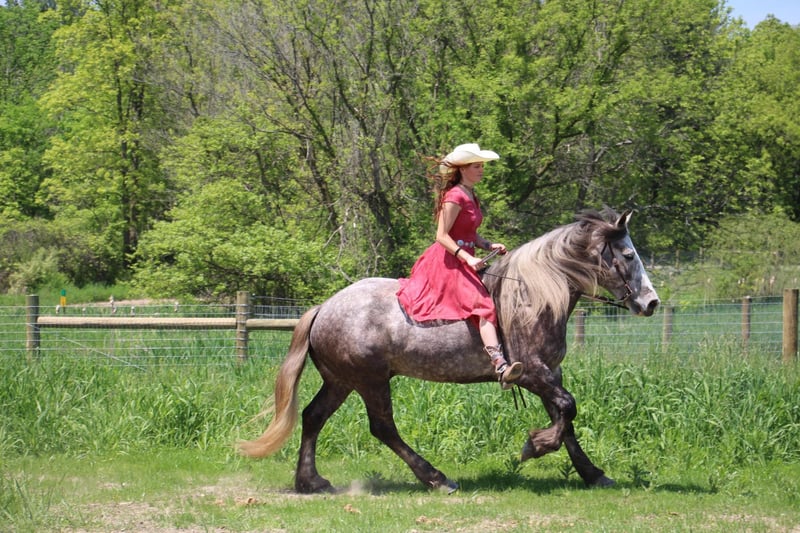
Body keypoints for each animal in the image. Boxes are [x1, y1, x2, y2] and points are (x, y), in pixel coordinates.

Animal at [239, 209, 660, 493]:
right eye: (627, 256)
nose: (651, 303)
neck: (534, 296)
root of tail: (324, 307)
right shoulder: (533, 372)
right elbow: (568, 409)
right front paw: (535, 446)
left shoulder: (549, 374)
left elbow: (565, 418)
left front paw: (592, 473)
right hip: (370, 381)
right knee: (382, 427)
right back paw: (436, 478)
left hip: (342, 381)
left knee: (313, 417)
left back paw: (310, 481)